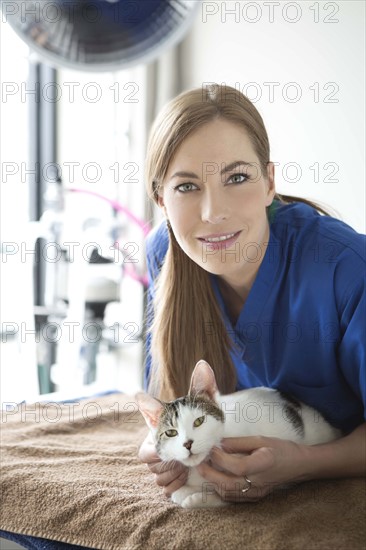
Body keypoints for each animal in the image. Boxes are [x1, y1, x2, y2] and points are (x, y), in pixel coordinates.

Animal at [137, 360, 340, 512]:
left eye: (199, 421)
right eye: (171, 432)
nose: (188, 444)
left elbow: (227, 495)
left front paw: (200, 498)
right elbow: (177, 493)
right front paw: (188, 492)